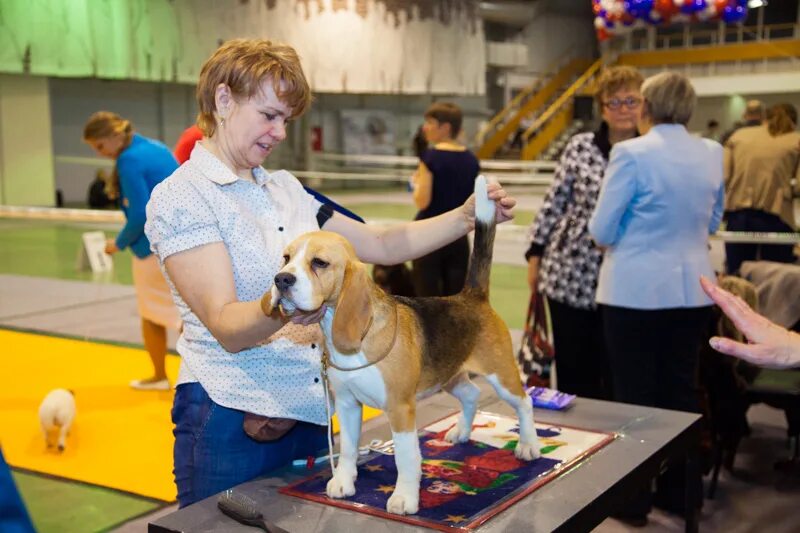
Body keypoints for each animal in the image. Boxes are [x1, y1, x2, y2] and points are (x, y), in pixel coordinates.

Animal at [266, 176, 540, 516]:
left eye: (319, 263)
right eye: (287, 258)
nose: (281, 280)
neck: (356, 341)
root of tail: (471, 296)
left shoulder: (400, 409)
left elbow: (406, 458)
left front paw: (405, 498)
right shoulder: (348, 404)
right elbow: (348, 450)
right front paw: (343, 481)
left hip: (500, 374)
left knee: (524, 403)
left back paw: (529, 444)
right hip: (450, 376)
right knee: (472, 394)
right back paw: (461, 432)